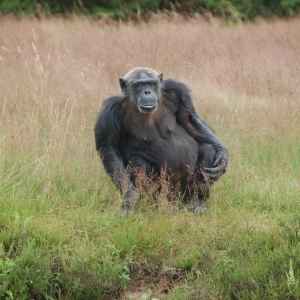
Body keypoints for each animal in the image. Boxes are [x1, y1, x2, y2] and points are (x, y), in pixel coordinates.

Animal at [94, 67, 227, 216]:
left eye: (152, 84)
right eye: (139, 85)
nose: (147, 91)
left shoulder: (177, 93)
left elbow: (190, 120)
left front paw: (222, 155)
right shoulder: (111, 112)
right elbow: (109, 147)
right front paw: (129, 199)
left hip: (183, 194)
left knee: (207, 149)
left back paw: (197, 202)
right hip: (164, 193)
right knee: (138, 161)